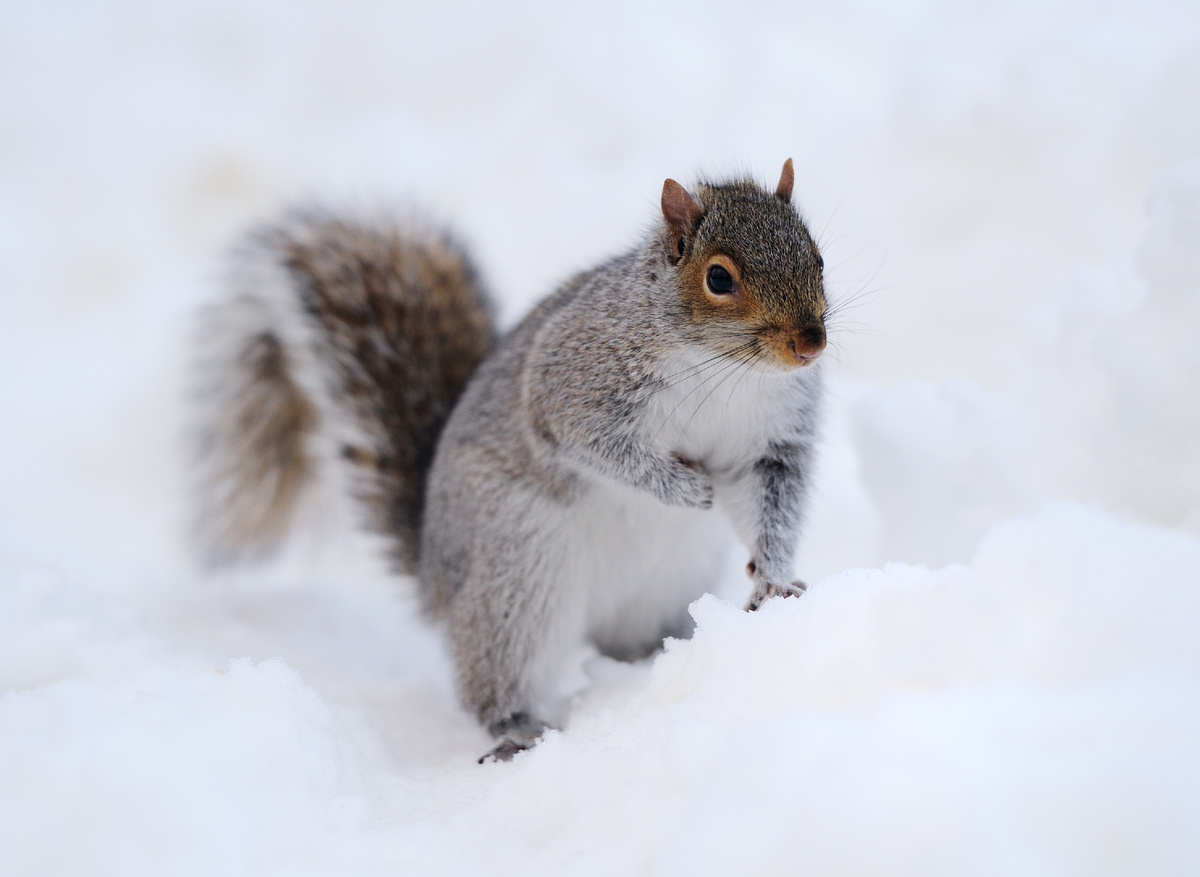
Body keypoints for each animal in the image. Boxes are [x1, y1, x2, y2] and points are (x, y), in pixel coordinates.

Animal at [190, 160, 826, 762]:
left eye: (818, 257)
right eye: (718, 277)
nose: (811, 344)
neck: (731, 373)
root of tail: (435, 579)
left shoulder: (771, 443)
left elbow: (770, 503)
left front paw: (774, 583)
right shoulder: (572, 385)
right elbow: (598, 444)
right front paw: (685, 489)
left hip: (661, 583)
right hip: (516, 573)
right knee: (496, 673)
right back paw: (516, 730)